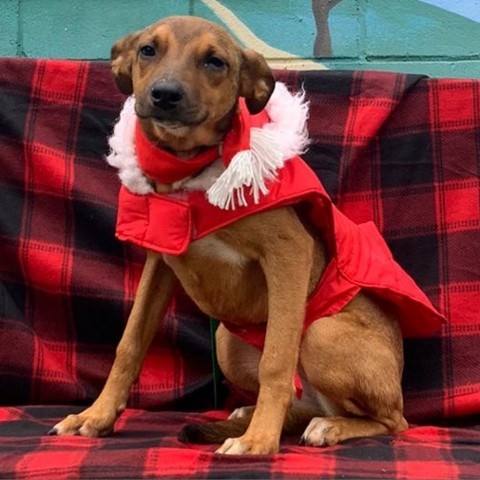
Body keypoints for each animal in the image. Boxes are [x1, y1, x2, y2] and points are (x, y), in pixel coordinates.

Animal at [48, 15, 442, 456]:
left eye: (215, 62)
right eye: (148, 50)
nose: (164, 95)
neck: (189, 173)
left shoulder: (290, 251)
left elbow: (276, 360)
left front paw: (258, 440)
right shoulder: (160, 261)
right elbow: (129, 344)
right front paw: (95, 416)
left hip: (322, 334)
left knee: (392, 420)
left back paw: (325, 426)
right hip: (227, 342)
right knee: (306, 403)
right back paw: (254, 413)